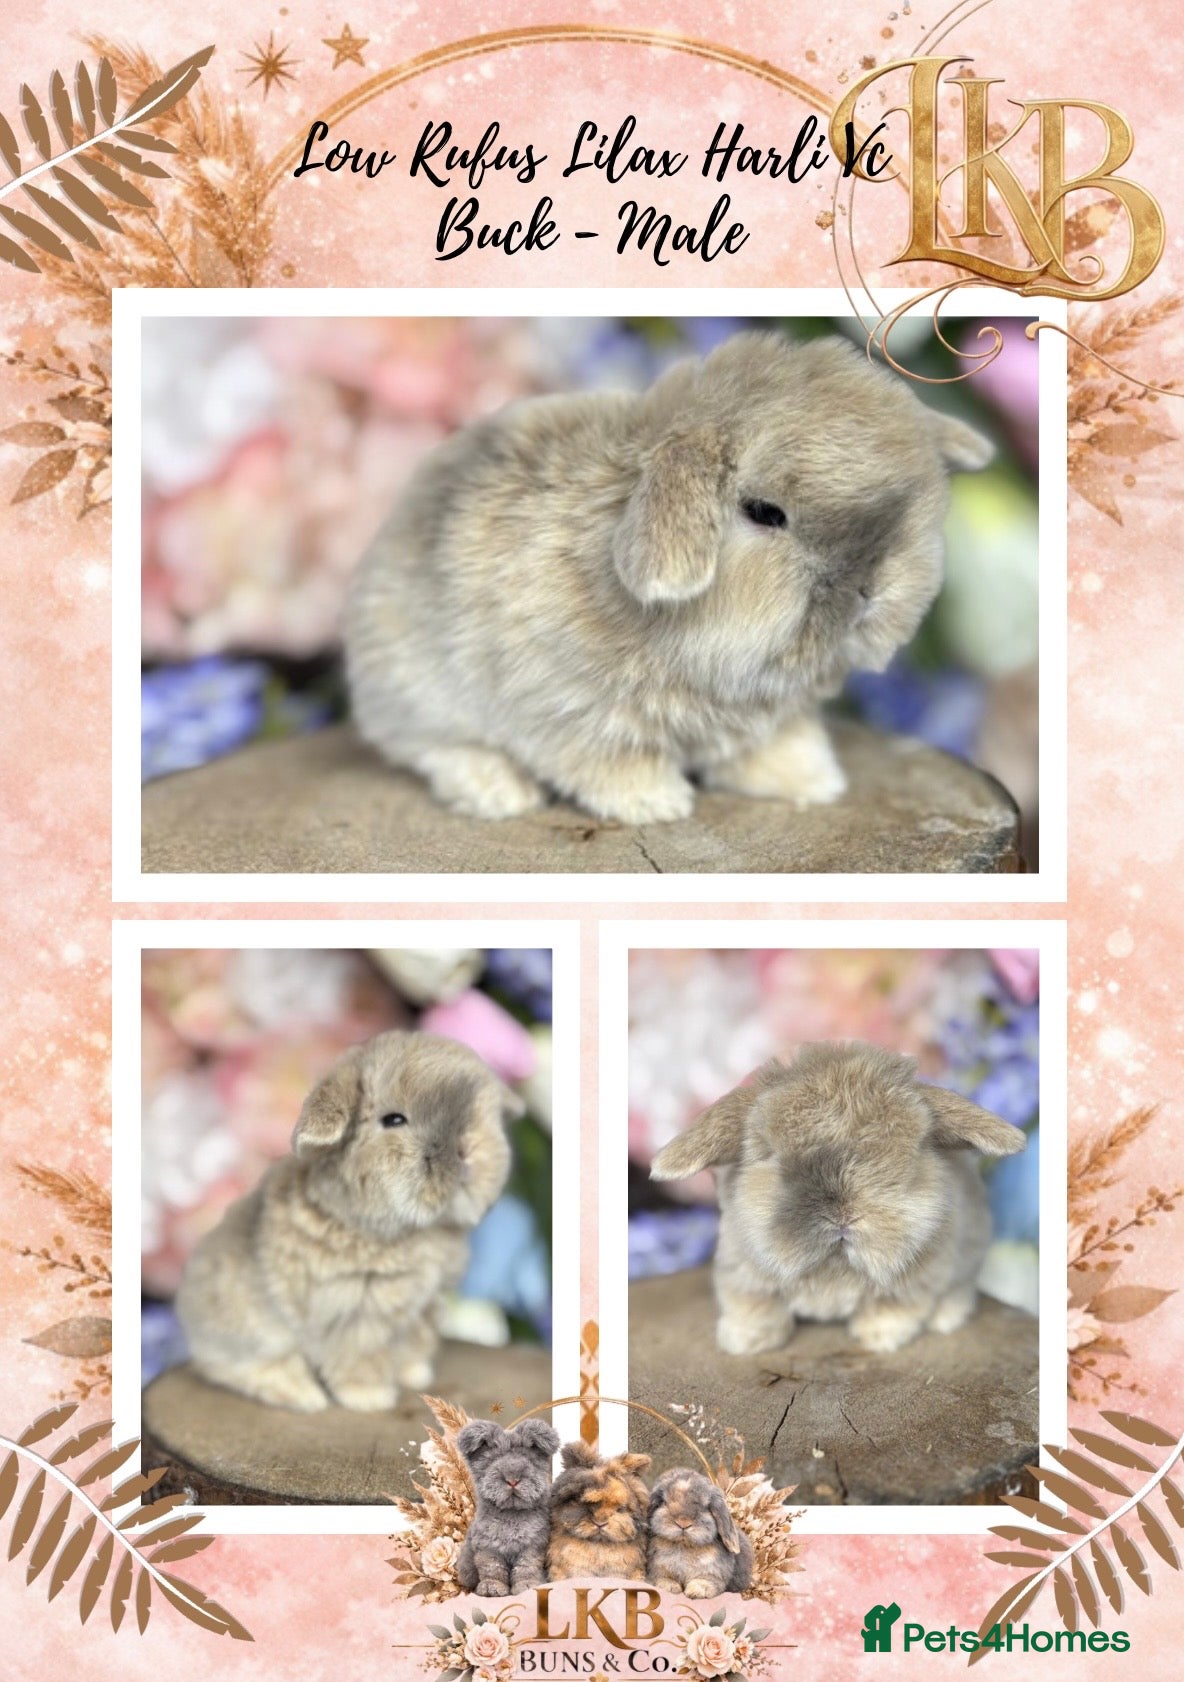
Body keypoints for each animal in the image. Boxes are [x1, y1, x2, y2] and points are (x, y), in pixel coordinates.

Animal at [175, 1029, 519, 1412]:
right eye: (394, 1120)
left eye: (480, 1112)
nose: (467, 1150)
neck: (415, 1230)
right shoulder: (358, 1315)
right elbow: (362, 1360)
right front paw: (371, 1399)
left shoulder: (423, 1307)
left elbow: (414, 1343)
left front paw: (415, 1375)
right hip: (257, 1334)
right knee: (243, 1369)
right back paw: (305, 1396)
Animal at [345, 329, 993, 825]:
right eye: (765, 512)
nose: (871, 592)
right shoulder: (575, 716)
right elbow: (611, 763)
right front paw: (657, 804)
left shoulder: (767, 718)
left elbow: (775, 744)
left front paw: (814, 781)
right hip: (417, 690)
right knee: (432, 748)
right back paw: (500, 791)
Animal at [456, 1417, 561, 1597]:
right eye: (493, 1460)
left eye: (528, 1459)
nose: (512, 1480)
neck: (511, 1513)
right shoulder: (488, 1549)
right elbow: (493, 1569)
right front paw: (491, 1589)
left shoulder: (532, 1548)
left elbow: (526, 1569)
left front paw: (527, 1586)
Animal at [646, 1468, 753, 1598]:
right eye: (664, 1502)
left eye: (705, 1507)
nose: (683, 1523)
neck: (684, 1545)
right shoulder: (657, 1568)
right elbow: (662, 1577)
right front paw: (670, 1586)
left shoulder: (713, 1573)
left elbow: (705, 1581)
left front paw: (696, 1591)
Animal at [650, 1041, 1026, 1357]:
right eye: (769, 1155)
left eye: (913, 1152)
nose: (844, 1215)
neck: (833, 1265)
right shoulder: (742, 1276)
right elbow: (756, 1308)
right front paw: (743, 1342)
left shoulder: (916, 1283)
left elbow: (894, 1310)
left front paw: (880, 1338)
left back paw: (945, 1318)